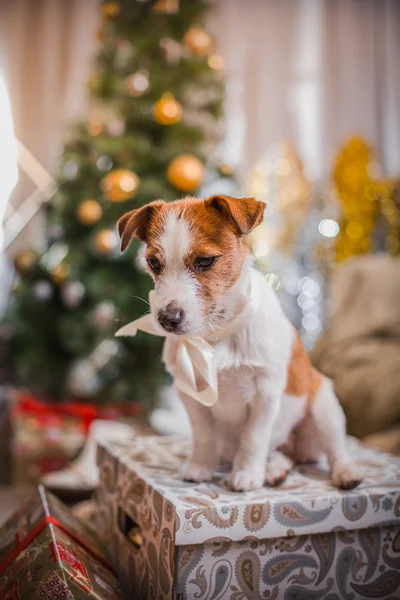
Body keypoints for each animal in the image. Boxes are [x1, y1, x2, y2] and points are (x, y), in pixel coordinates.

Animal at [115, 197, 362, 492]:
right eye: (153, 262)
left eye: (205, 261)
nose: (167, 319)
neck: (217, 334)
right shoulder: (192, 396)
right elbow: (204, 436)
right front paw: (200, 467)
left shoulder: (265, 394)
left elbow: (253, 439)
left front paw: (246, 474)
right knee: (280, 455)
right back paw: (275, 469)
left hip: (324, 407)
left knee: (335, 449)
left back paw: (345, 472)